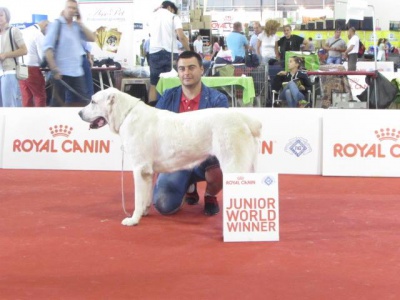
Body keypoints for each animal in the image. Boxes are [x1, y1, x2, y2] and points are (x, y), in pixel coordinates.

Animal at [79, 88, 262, 226]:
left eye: (93, 101)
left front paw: (133, 219)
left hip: (232, 165)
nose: (79, 112)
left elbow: (138, 198)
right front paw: (144, 212)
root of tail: (242, 118)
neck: (126, 115)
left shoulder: (139, 168)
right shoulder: (147, 172)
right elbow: (145, 196)